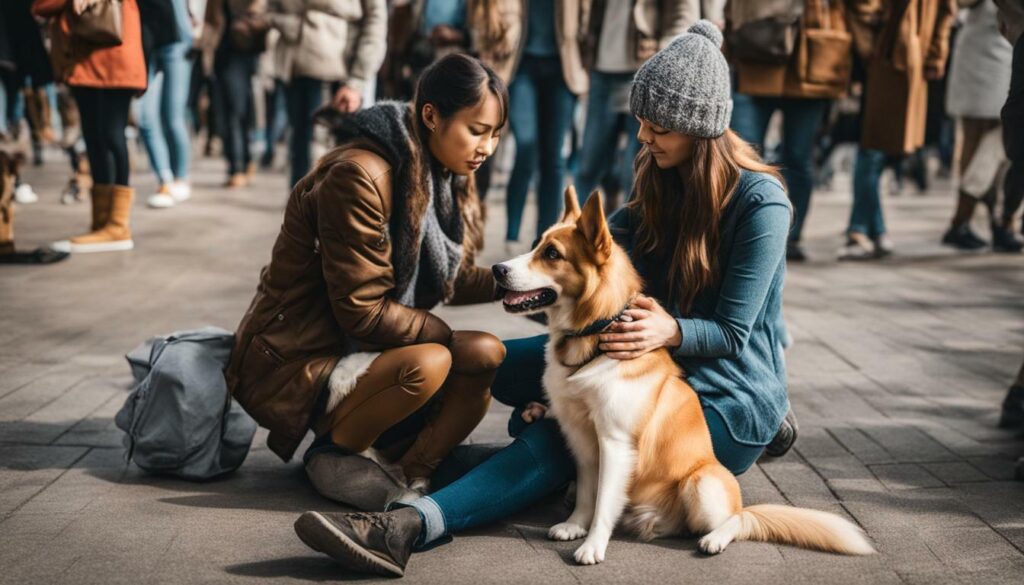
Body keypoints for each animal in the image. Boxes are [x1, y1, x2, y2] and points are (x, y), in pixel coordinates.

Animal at [491, 189, 876, 565]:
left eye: (552, 254)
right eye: (537, 244)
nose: (497, 268)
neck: (595, 334)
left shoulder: (615, 444)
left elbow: (604, 503)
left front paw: (593, 546)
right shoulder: (582, 440)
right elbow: (588, 492)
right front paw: (575, 525)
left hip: (702, 484)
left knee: (737, 521)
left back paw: (714, 539)